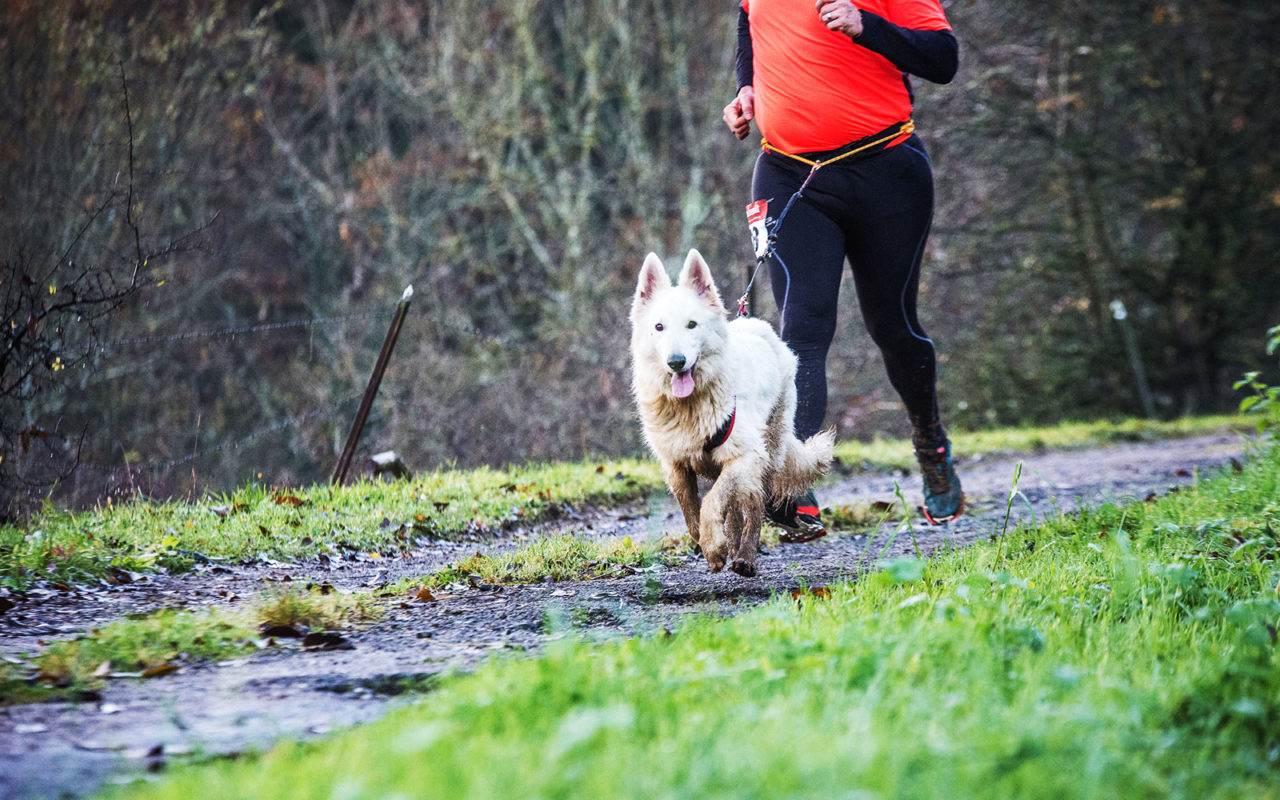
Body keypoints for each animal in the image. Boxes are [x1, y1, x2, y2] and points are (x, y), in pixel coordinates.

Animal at [632, 249, 839, 573]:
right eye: (659, 327)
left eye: (692, 324)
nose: (676, 362)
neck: (690, 406)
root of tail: (757, 325)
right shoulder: (676, 465)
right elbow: (691, 514)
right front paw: (709, 542)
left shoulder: (742, 457)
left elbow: (711, 503)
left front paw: (714, 547)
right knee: (735, 510)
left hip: (767, 453)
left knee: (753, 505)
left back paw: (745, 557)